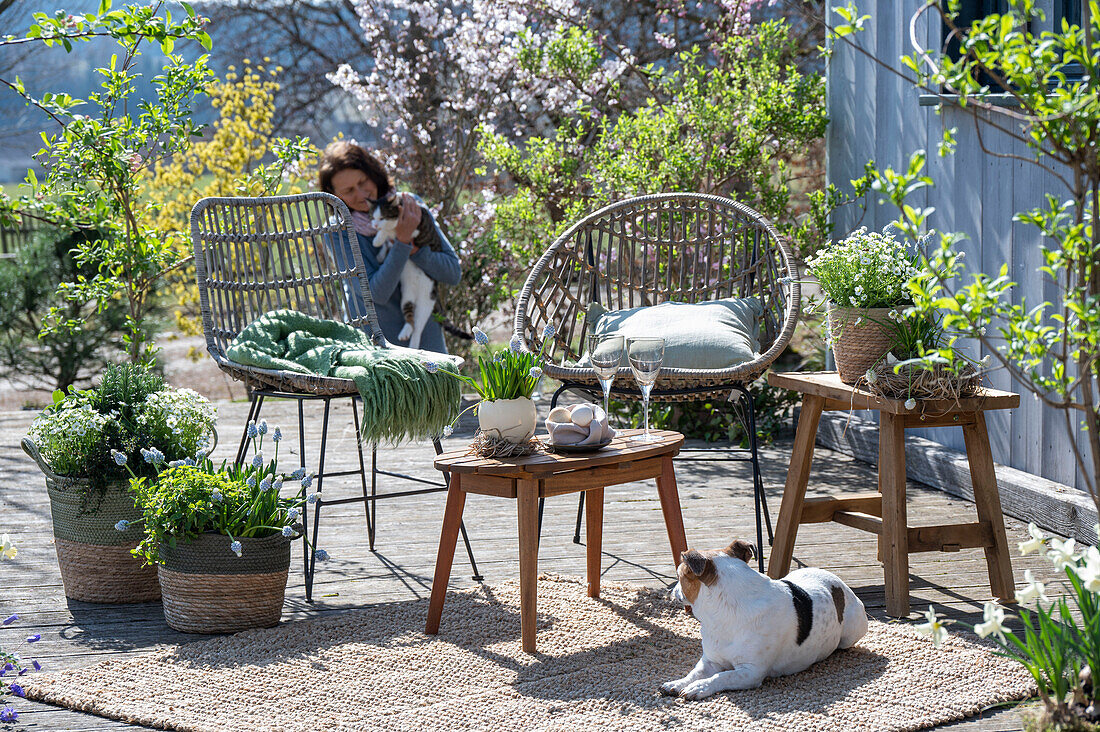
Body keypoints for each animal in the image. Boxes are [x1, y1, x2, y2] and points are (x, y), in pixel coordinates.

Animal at [371, 188, 444, 347]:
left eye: (382, 217)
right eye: (372, 217)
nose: (374, 226)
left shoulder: (416, 230)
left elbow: (392, 230)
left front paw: (379, 238)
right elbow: (388, 239)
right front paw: (380, 252)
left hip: (426, 301)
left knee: (418, 327)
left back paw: (414, 344)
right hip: (406, 297)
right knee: (411, 320)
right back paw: (405, 332)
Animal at [660, 539, 866, 700]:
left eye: (680, 576)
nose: (672, 590)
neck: (726, 612)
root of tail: (839, 583)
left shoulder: (751, 672)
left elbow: (722, 677)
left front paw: (700, 687)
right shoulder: (710, 661)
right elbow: (695, 672)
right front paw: (678, 682)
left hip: (851, 633)